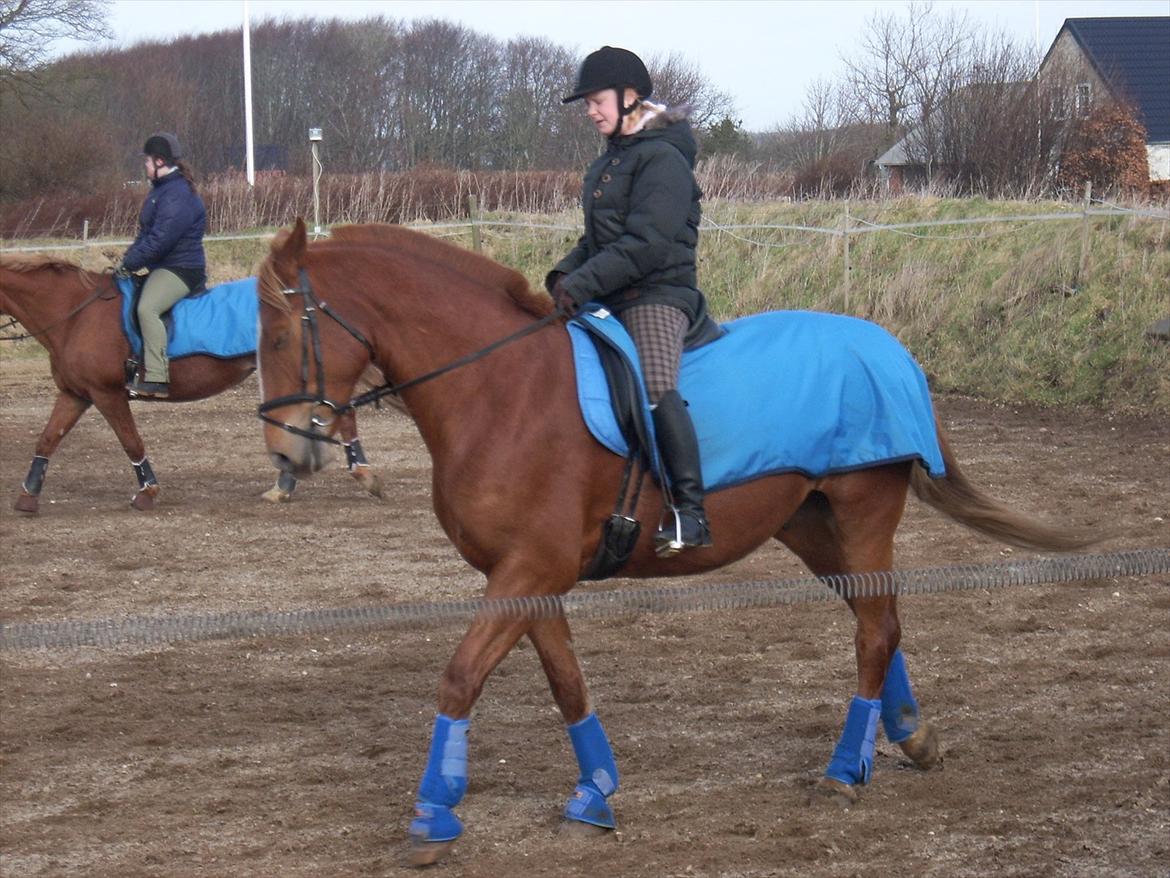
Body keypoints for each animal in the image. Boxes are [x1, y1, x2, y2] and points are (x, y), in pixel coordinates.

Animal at [0, 254, 383, 512]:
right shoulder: (75, 394)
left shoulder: (106, 394)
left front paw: (147, 492)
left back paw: (358, 476)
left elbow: (130, 441)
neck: (76, 315)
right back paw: (288, 485)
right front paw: (27, 496)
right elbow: (48, 438)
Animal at [253, 220, 1095, 866]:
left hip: (861, 511)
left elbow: (460, 679)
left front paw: (433, 819)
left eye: (283, 328)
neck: (498, 389)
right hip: (810, 528)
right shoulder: (527, 575)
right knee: (876, 621)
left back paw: (842, 772)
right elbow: (567, 683)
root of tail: (888, 350)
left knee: (875, 631)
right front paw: (594, 796)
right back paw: (911, 738)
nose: (288, 450)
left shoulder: (528, 569)